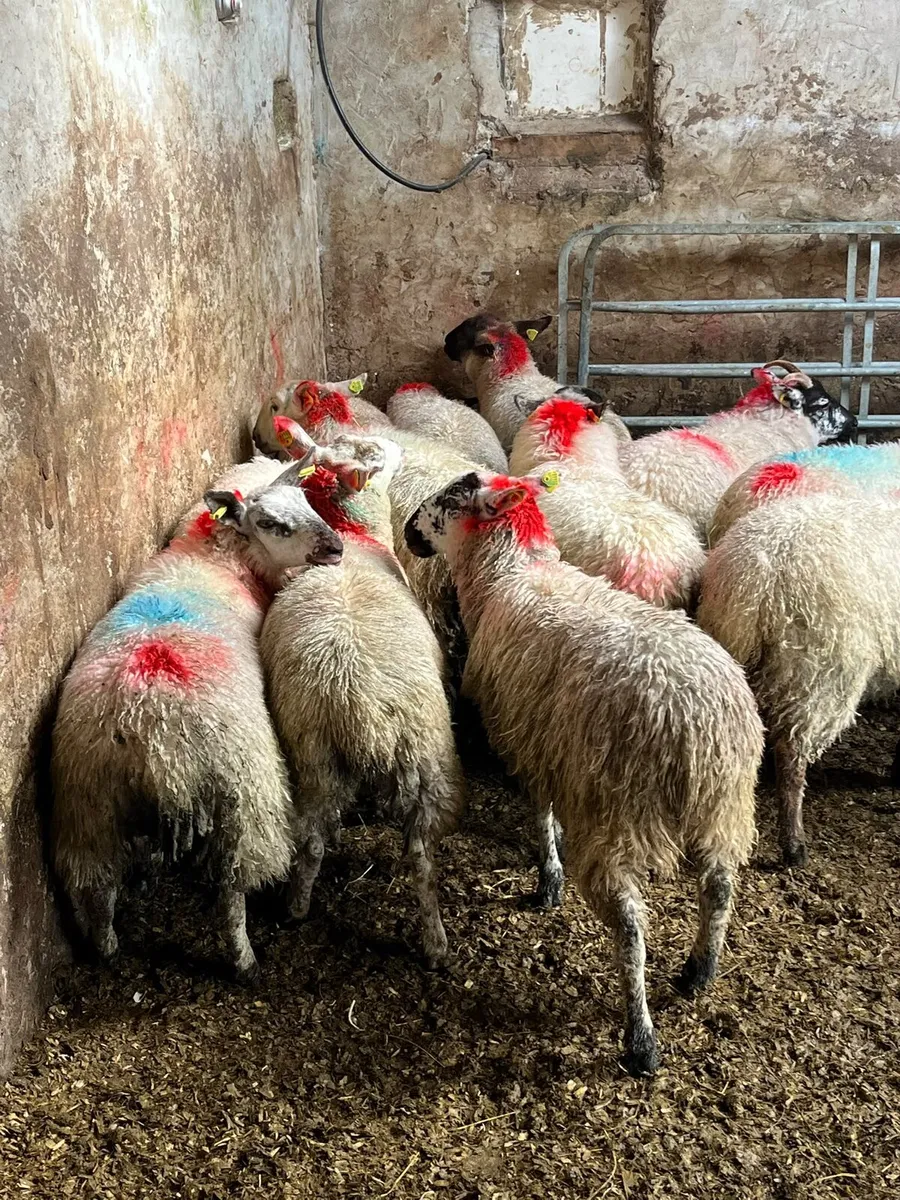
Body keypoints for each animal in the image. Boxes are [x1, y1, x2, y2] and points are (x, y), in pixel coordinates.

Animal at [52, 452, 346, 979]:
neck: (217, 558)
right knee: (231, 891)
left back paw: (107, 948)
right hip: (243, 794)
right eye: (271, 523)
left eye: (307, 501)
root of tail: (150, 730)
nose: (335, 548)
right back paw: (244, 960)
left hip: (88, 801)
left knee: (98, 883)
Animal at [258, 421, 464, 966]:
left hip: (319, 756)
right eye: (374, 455)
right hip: (424, 756)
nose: (397, 446)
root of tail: (363, 709)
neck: (355, 538)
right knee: (419, 857)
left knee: (315, 842)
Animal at [404, 470, 762, 1074]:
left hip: (615, 814)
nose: (408, 530)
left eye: (452, 499)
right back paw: (698, 972)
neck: (507, 574)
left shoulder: (528, 741)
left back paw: (641, 1038)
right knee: (719, 889)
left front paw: (548, 876)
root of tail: (697, 723)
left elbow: (541, 811)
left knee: (632, 929)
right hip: (726, 807)